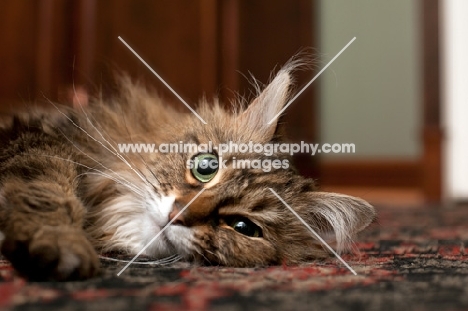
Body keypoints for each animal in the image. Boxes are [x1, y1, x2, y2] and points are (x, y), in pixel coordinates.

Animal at [0, 59, 374, 282]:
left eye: (243, 227)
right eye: (205, 166)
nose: (177, 215)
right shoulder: (35, 140)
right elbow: (47, 191)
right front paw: (61, 245)